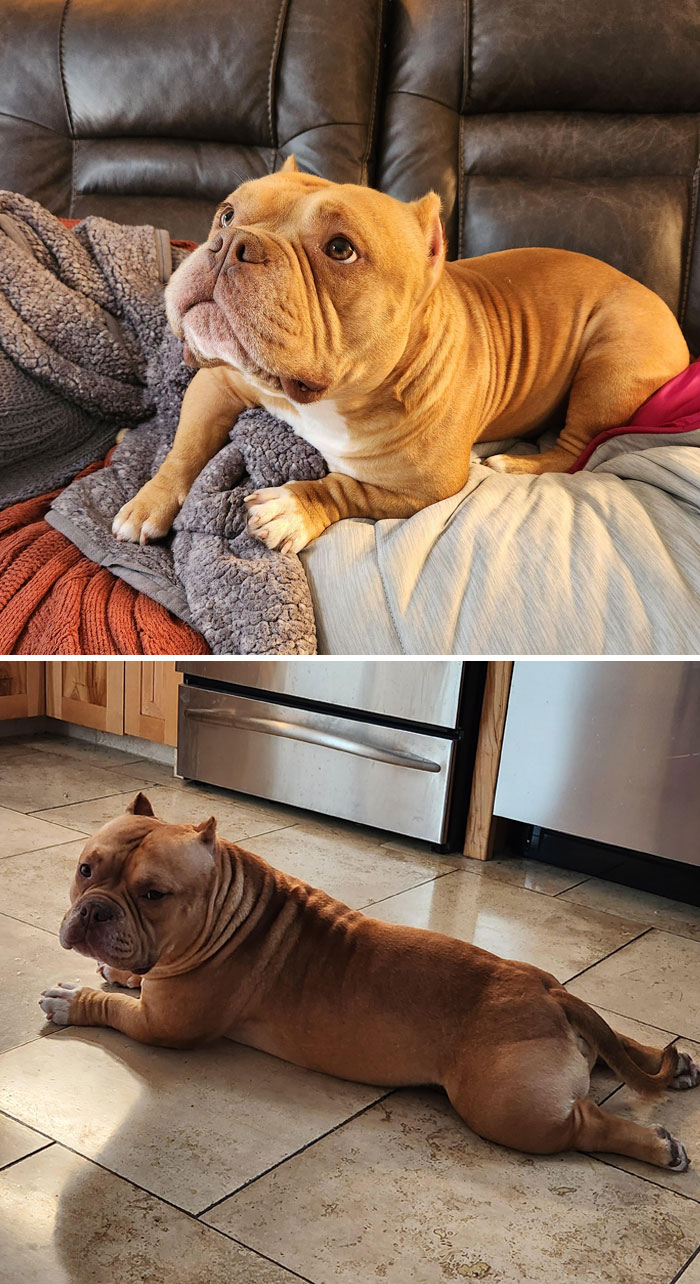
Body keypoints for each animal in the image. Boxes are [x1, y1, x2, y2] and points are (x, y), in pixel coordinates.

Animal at [40, 796, 693, 1176]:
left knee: (585, 1126)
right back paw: (680, 1065)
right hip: (576, 1036)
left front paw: (73, 1000)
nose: (93, 912)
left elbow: (114, 1008)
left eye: (153, 894)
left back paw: (658, 1146)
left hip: (508, 1109)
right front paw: (117, 971)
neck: (228, 905)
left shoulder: (164, 1025)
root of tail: (553, 994)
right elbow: (130, 975)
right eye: (85, 869)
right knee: (622, 1045)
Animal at [110, 155, 688, 552]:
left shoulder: (427, 485)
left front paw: (293, 506)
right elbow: (184, 449)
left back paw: (518, 463)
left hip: (609, 367)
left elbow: (347, 488)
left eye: (340, 249)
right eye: (227, 214)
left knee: (574, 449)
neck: (322, 400)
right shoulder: (220, 381)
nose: (230, 244)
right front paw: (147, 502)